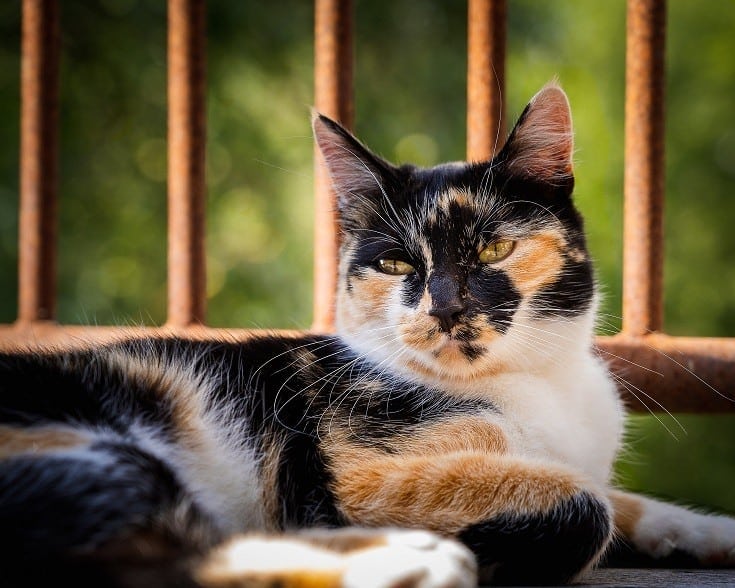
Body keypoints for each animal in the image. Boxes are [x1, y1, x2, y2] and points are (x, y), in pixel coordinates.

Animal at [1, 84, 735, 588]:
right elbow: (588, 504)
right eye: (396, 264)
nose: (445, 307)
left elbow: (616, 496)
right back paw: (410, 564)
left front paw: (705, 530)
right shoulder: (352, 469)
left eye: (494, 248)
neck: (533, 386)